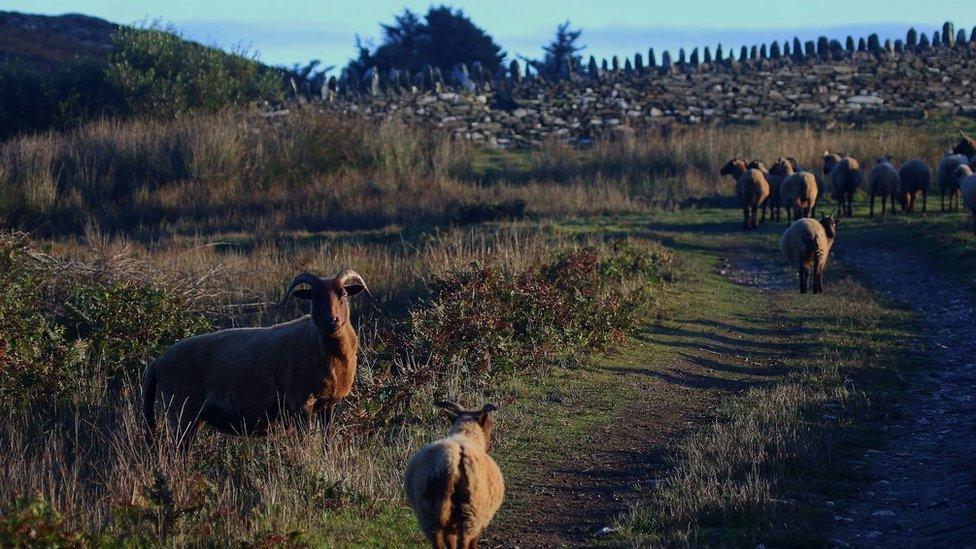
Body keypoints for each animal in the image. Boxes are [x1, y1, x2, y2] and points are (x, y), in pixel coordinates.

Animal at [144, 270, 370, 450]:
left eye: (342, 295)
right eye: (314, 297)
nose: (331, 321)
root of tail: (158, 361)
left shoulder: (327, 404)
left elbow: (327, 441)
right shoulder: (301, 403)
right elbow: (305, 443)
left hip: (193, 417)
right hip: (181, 412)